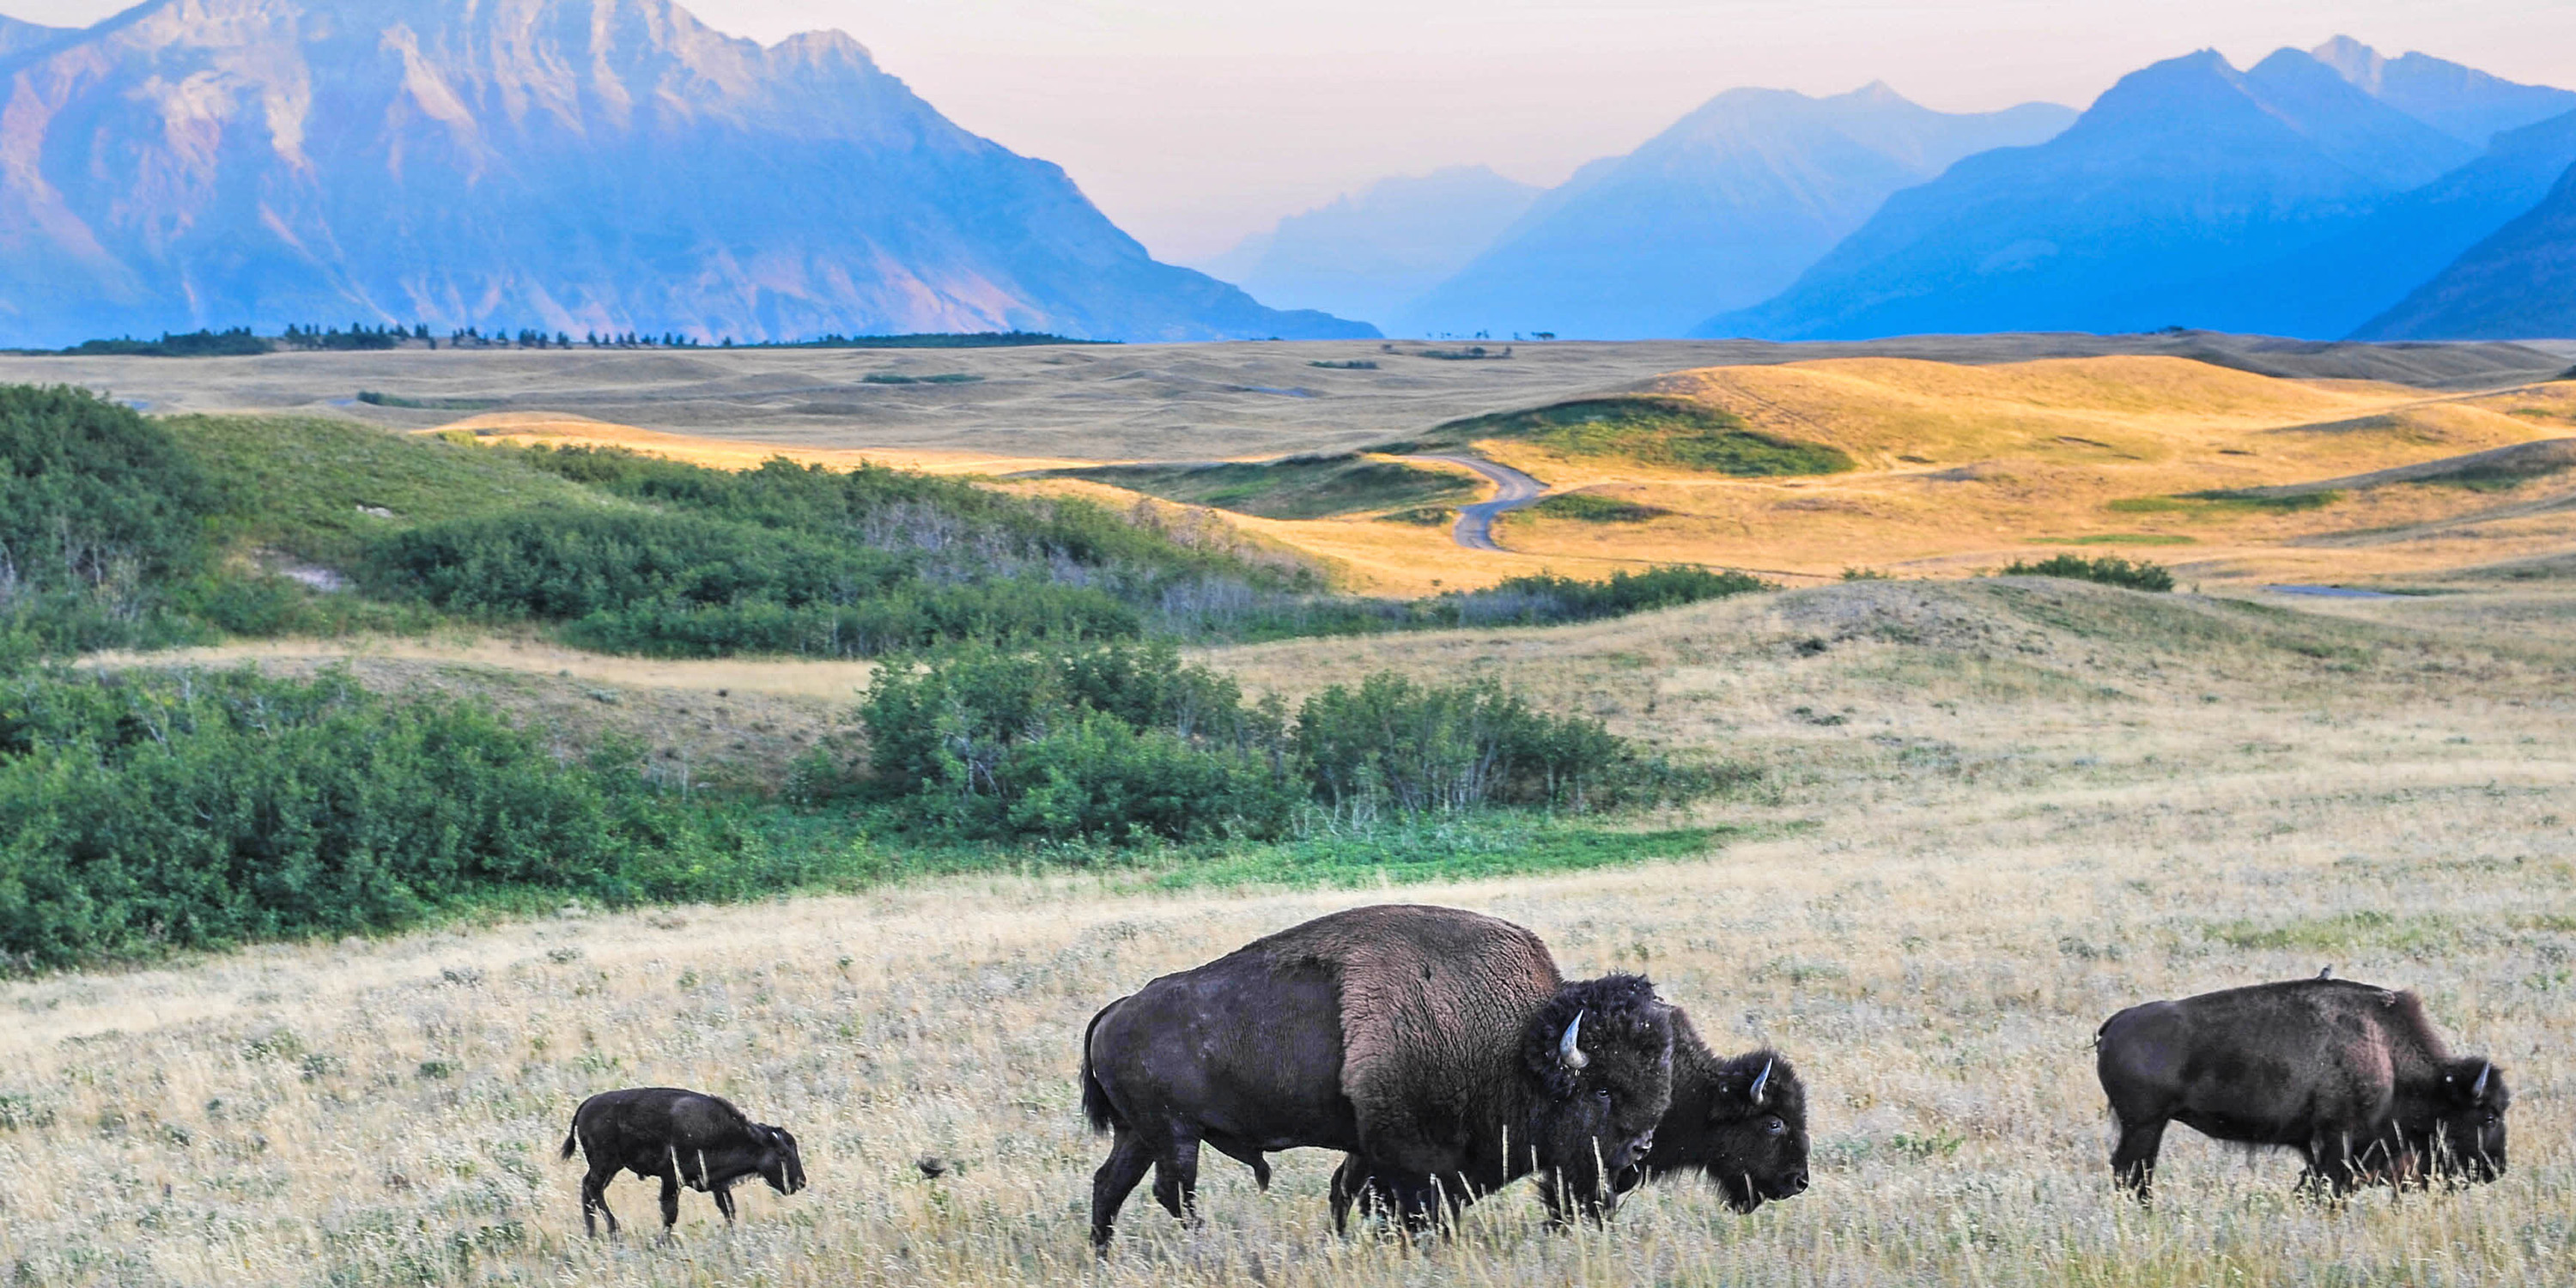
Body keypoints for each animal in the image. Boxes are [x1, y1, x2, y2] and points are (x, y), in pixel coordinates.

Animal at [559, 1087, 807, 1236]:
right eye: (783, 1153)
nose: (801, 1182)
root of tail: (585, 1105)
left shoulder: (718, 1184)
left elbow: (728, 1209)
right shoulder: (671, 1180)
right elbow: (670, 1213)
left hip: (609, 1167)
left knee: (589, 1190)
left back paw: (593, 1234)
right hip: (605, 1164)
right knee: (592, 1189)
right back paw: (613, 1230)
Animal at [1079, 904, 1676, 1248]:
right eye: (1603, 1089)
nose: (1639, 1152)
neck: (1509, 1044)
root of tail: (1115, 1011)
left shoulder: (1367, 1147)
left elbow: (1345, 1192)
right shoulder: (1408, 1155)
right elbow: (1405, 1206)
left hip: (1140, 1134)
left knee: (1111, 1184)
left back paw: (1102, 1254)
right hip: (1175, 1134)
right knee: (1173, 1192)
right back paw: (1199, 1248)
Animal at [2096, 978, 2508, 1201]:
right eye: (2489, 1116)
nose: (2497, 1169)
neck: (2386, 1054)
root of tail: (2115, 1022)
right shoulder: (2337, 1143)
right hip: (2145, 1126)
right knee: (2132, 1173)